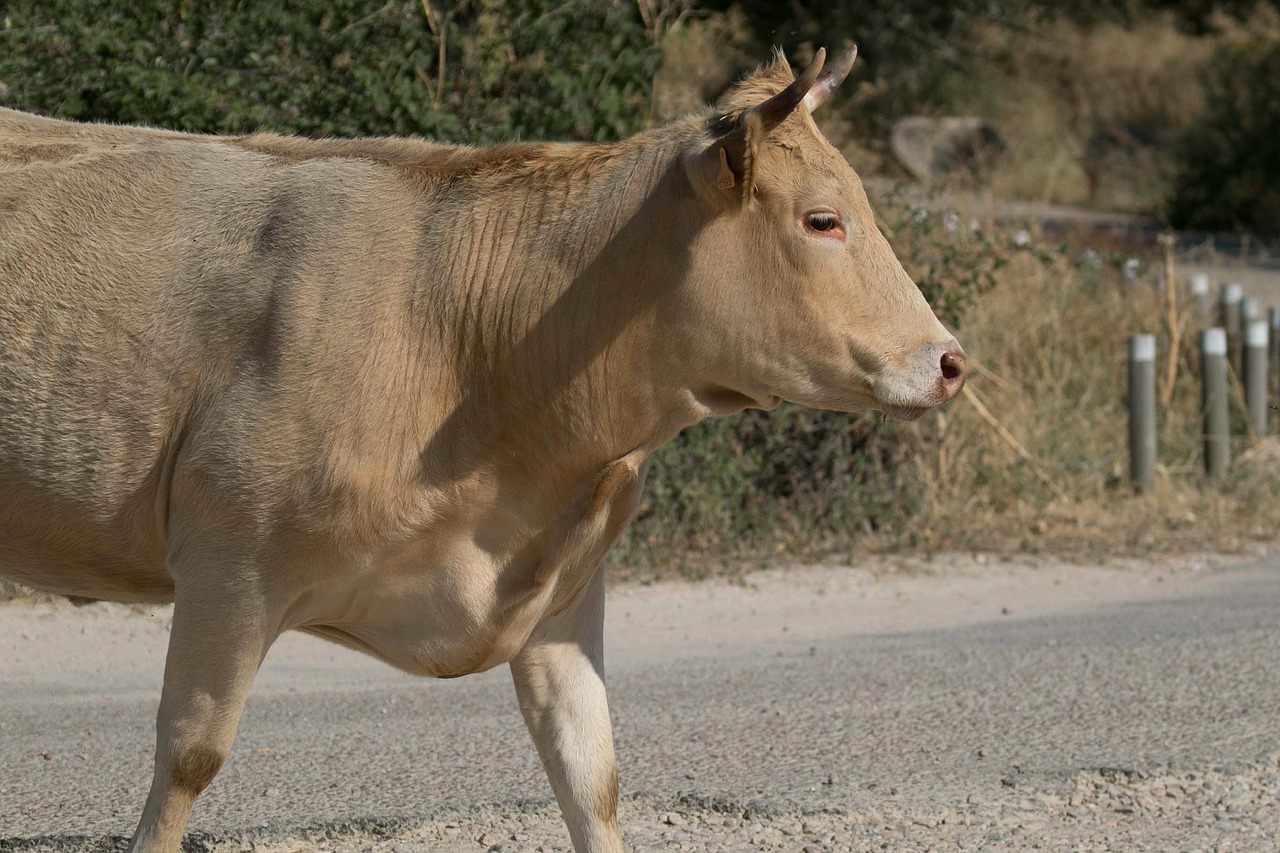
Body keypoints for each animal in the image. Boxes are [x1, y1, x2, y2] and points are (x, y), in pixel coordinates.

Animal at [0, 47, 965, 852]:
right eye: (823, 219)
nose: (950, 360)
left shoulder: (564, 585)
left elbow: (590, 773)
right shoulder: (229, 557)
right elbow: (189, 756)